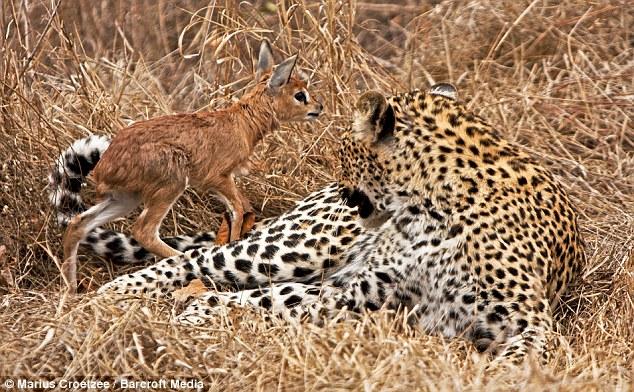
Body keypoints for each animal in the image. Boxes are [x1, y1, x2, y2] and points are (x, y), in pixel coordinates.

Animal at [51, 83, 584, 368]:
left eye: (345, 149)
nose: (344, 189)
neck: (429, 211)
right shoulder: (361, 288)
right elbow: (267, 298)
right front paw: (198, 313)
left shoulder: (529, 322)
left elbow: (523, 354)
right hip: (300, 246)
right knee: (196, 257)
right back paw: (109, 299)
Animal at [60, 39, 320, 292]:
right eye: (300, 95)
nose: (319, 108)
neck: (243, 122)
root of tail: (104, 165)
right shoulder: (220, 178)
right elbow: (239, 208)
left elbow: (241, 209)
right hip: (170, 186)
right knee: (143, 231)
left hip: (125, 199)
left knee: (78, 223)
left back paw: (71, 290)